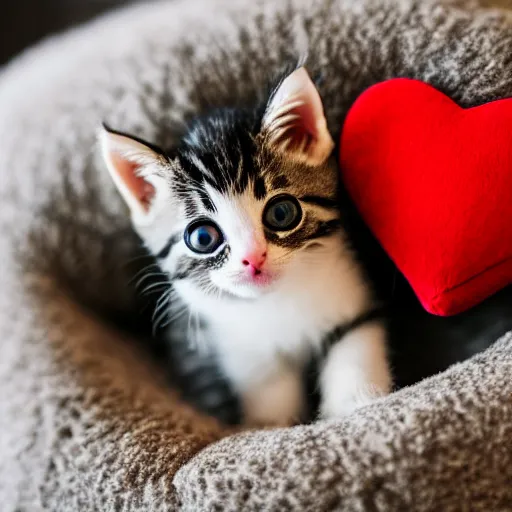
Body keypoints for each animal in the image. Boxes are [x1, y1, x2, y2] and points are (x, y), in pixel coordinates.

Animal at [98, 65, 390, 424]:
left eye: (281, 213)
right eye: (203, 238)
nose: (253, 258)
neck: (277, 304)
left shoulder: (351, 298)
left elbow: (356, 345)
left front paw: (358, 406)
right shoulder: (244, 354)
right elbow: (270, 401)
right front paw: (271, 424)